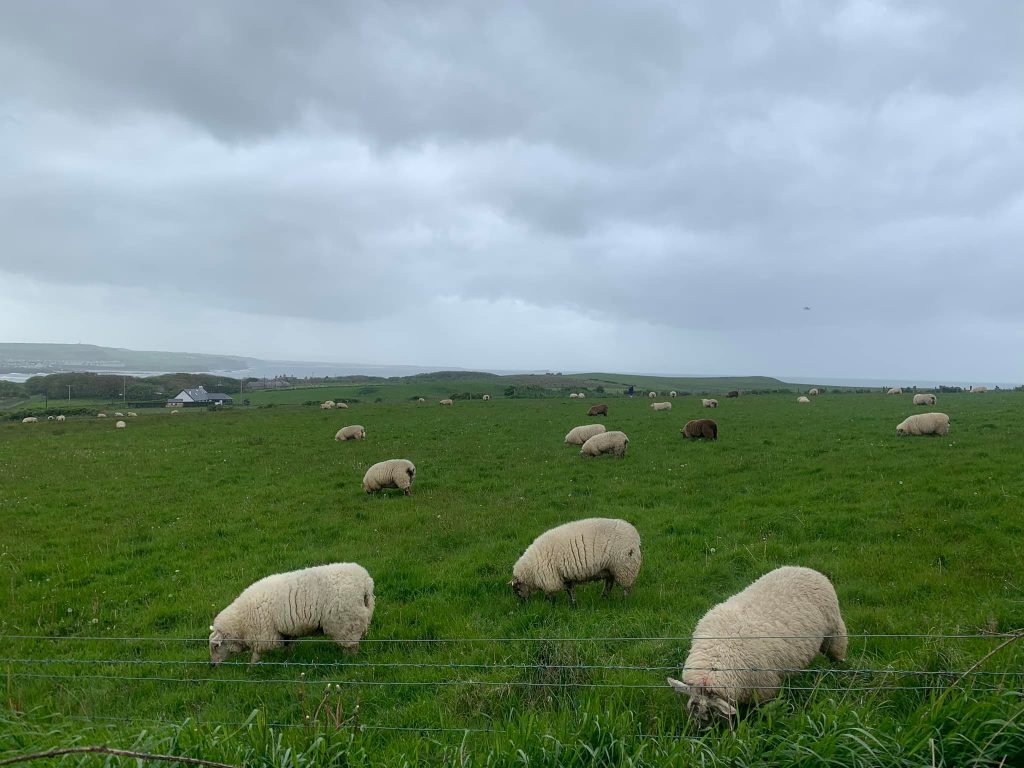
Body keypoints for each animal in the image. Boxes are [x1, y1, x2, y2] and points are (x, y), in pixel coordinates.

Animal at [208, 561, 376, 663]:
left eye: (215, 646)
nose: (212, 665)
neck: (240, 621)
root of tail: (365, 583)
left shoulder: (262, 634)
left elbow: (256, 654)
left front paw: (251, 668)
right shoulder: (285, 631)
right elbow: (288, 647)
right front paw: (289, 660)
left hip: (346, 622)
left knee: (351, 647)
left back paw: (348, 662)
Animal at [509, 520, 643, 610]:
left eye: (517, 590)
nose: (523, 605)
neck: (531, 571)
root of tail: (636, 536)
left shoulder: (550, 578)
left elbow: (551, 594)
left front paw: (551, 605)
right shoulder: (565, 575)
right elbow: (570, 591)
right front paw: (573, 605)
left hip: (625, 567)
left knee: (626, 588)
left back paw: (623, 602)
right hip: (610, 568)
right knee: (609, 583)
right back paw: (603, 597)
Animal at [663, 565, 847, 720]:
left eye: (711, 712)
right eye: (690, 710)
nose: (698, 734)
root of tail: (803, 568)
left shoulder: (765, 689)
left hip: (834, 631)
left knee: (837, 652)